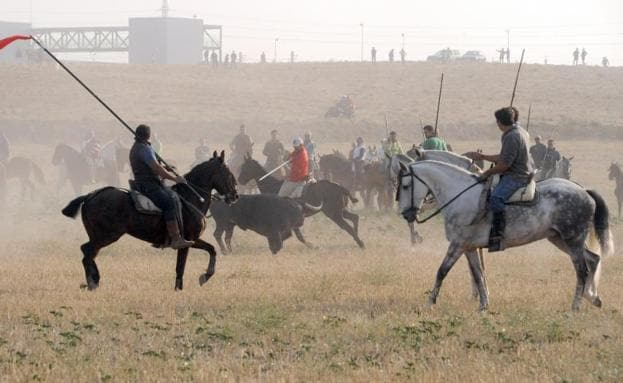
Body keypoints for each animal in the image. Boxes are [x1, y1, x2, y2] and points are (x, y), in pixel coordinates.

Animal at [61, 152, 238, 292]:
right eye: (228, 173)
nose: (235, 196)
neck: (191, 198)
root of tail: (90, 196)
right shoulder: (187, 241)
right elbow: (180, 266)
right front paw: (180, 288)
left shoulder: (194, 240)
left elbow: (212, 250)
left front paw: (205, 276)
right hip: (106, 236)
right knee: (87, 252)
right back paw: (92, 281)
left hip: (99, 237)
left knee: (88, 253)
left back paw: (94, 280)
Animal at [238, 156, 366, 249]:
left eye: (245, 167)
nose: (239, 180)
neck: (273, 186)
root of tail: (339, 186)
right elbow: (297, 234)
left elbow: (296, 235)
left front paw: (310, 245)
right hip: (341, 211)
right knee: (355, 218)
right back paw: (358, 238)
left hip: (334, 214)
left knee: (348, 227)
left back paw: (360, 243)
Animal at [398, 159, 612, 312]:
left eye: (406, 186)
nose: (407, 215)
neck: (460, 196)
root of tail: (584, 191)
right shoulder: (469, 247)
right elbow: (478, 274)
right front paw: (484, 305)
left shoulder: (457, 245)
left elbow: (442, 271)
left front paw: (430, 302)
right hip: (560, 239)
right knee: (594, 259)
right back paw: (593, 297)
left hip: (572, 240)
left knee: (582, 270)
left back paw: (576, 305)